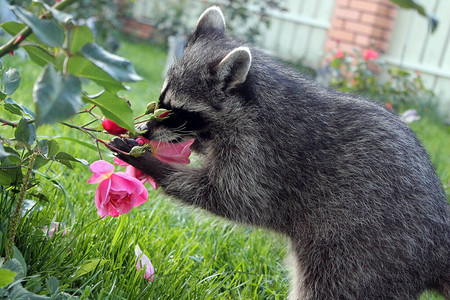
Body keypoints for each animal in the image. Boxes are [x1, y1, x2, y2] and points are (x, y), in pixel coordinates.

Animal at [110, 5, 450, 300]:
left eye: (176, 112)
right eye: (161, 101)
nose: (145, 130)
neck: (248, 104)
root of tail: (438, 241)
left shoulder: (262, 156)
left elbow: (233, 197)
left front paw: (155, 165)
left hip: (366, 254)